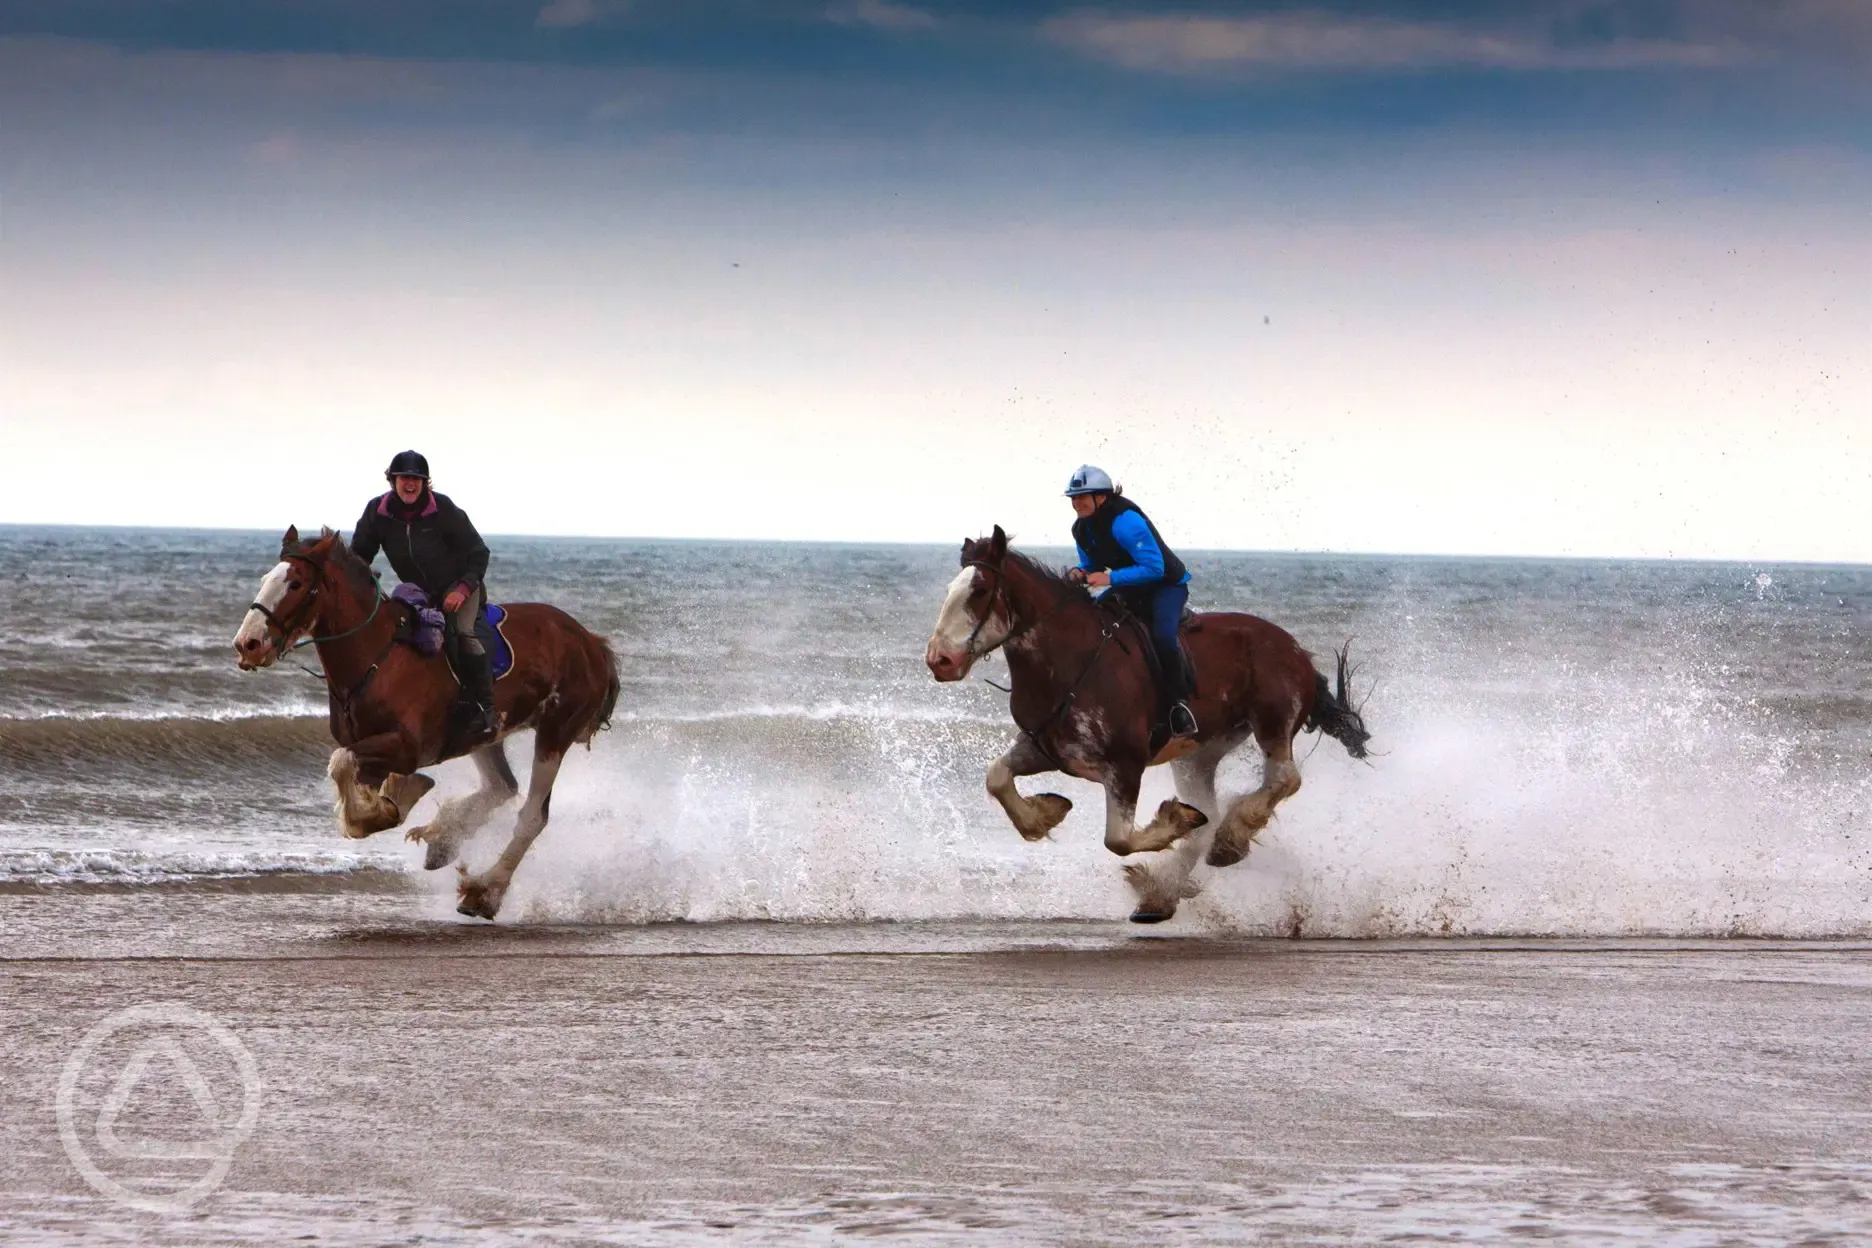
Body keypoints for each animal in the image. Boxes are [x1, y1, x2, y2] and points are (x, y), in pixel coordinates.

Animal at [231, 527, 617, 916]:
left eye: (295, 583)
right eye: (264, 580)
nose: (247, 644)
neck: (378, 657)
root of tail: (590, 642)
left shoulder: (405, 747)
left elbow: (341, 762)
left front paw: (391, 805)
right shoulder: (372, 748)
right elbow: (351, 776)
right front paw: (389, 806)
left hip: (555, 732)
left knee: (533, 816)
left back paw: (484, 892)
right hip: (487, 736)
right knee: (502, 786)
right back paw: (444, 840)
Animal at [928, 523, 1370, 924]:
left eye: (979, 590)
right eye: (949, 589)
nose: (940, 660)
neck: (1070, 660)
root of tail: (1296, 650)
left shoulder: (1125, 765)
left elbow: (1119, 840)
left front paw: (1175, 820)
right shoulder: (1045, 749)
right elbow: (997, 777)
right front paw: (1045, 813)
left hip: (1274, 720)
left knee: (1283, 780)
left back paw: (1227, 843)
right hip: (1197, 754)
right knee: (1211, 814)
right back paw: (1160, 895)